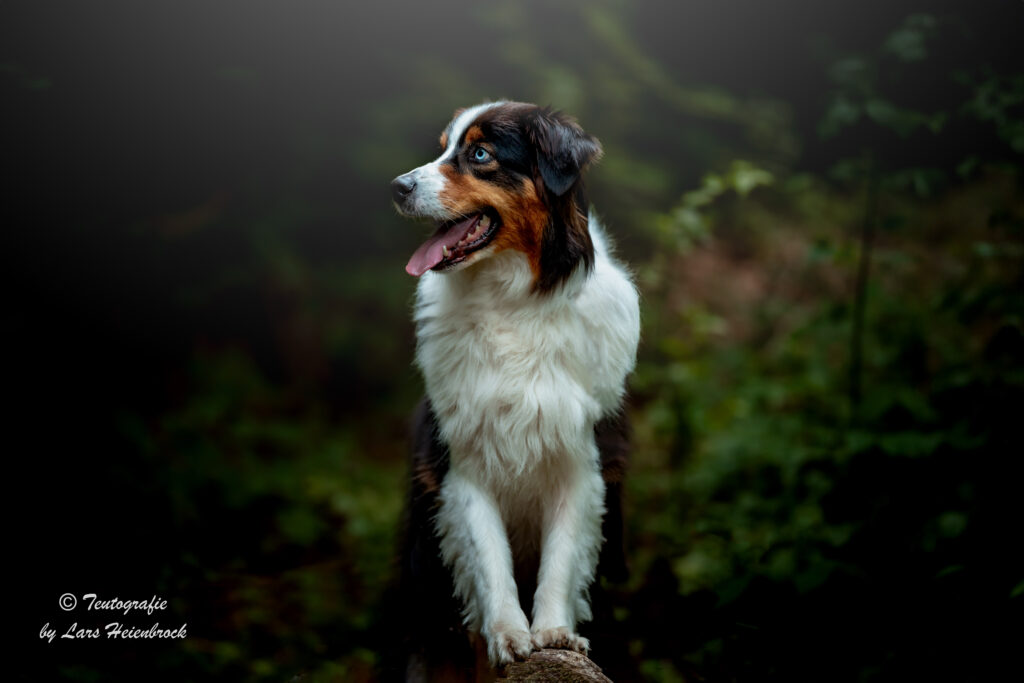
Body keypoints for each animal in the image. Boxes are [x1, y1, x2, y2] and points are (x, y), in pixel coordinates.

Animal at [387, 102, 634, 683]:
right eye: (444, 148)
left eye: (480, 154)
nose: (397, 187)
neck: (512, 304)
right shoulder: (460, 466)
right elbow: (490, 559)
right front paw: (507, 636)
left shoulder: (582, 461)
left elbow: (561, 557)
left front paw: (554, 633)